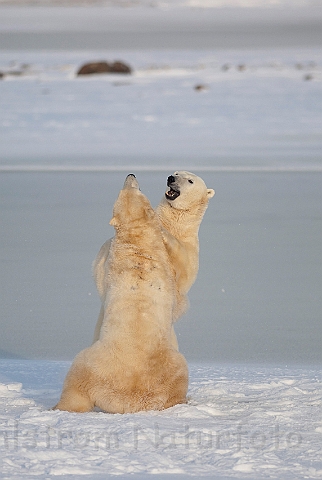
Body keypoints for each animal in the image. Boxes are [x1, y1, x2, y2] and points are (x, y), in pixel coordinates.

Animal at [53, 174, 187, 414]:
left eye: (136, 189)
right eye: (125, 189)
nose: (130, 175)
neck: (137, 238)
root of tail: (130, 399)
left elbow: (98, 273)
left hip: (95, 362)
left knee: (76, 381)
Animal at [92, 172, 215, 344]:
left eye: (190, 180)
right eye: (177, 173)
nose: (171, 178)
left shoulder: (191, 251)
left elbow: (183, 267)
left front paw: (164, 234)